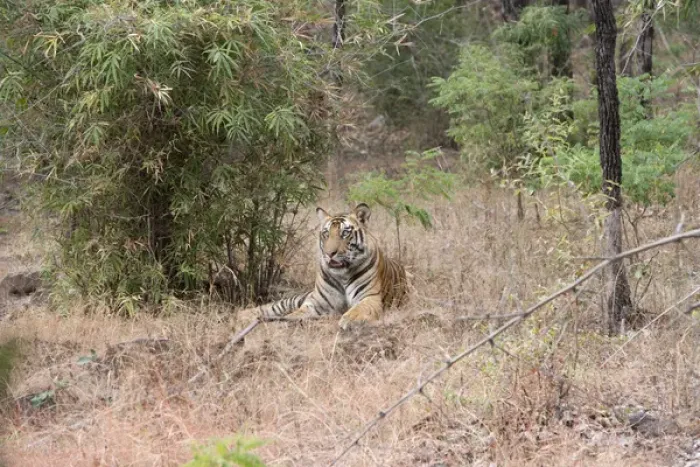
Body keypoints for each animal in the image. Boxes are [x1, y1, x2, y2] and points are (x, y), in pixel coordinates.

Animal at [249, 203, 407, 329]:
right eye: (326, 233)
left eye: (345, 233)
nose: (329, 253)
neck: (343, 275)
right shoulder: (316, 303)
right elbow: (296, 313)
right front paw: (283, 320)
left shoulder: (370, 297)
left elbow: (360, 309)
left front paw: (349, 319)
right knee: (272, 306)